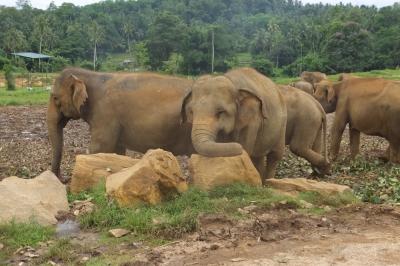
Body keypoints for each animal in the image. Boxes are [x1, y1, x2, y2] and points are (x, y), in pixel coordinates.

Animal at [47, 67, 195, 179]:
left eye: (55, 98)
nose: (63, 179)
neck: (91, 74)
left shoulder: (105, 114)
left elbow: (99, 148)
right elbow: (117, 150)